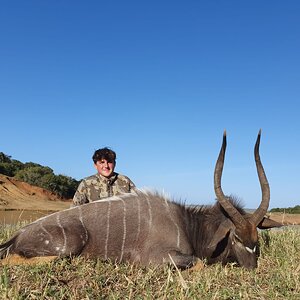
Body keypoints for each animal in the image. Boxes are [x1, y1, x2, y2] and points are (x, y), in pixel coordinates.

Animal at [0, 130, 282, 268]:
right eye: (236, 238)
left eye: (256, 240)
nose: (252, 269)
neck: (186, 223)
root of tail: (17, 236)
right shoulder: (156, 259)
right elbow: (199, 263)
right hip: (68, 244)